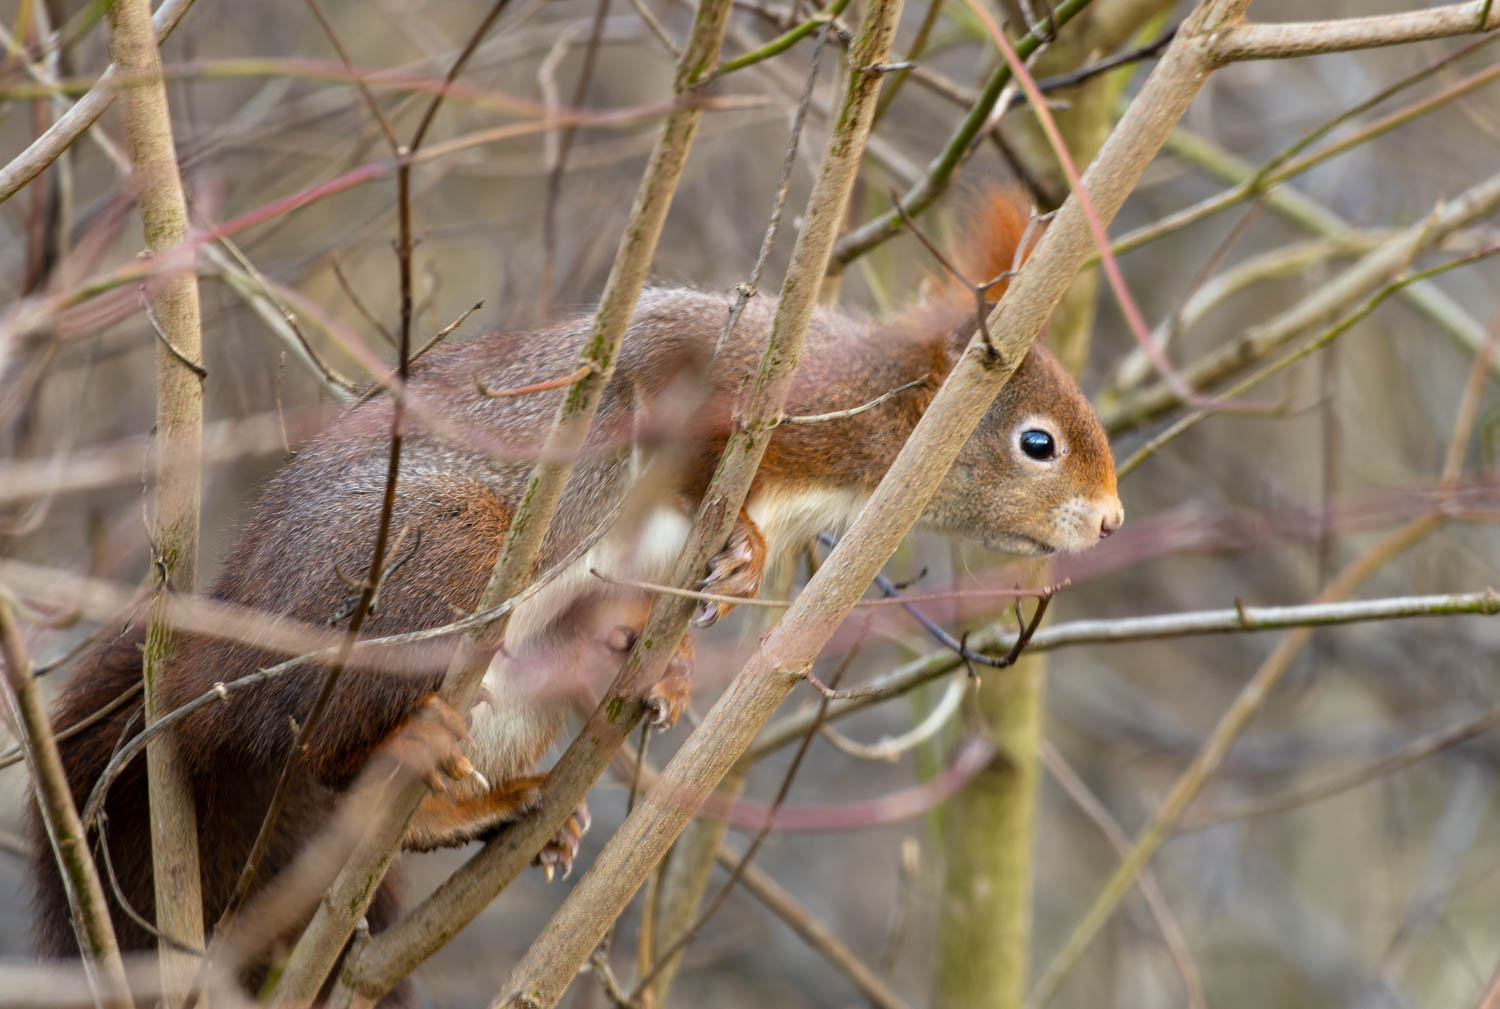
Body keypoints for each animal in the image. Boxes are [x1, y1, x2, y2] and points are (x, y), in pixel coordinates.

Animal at [29, 193, 1122, 995]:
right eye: (1037, 442)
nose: (1113, 522)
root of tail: (217, 652)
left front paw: (668, 668)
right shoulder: (729, 368)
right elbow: (675, 407)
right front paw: (745, 542)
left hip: (513, 687)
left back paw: (503, 803)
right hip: (432, 565)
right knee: (324, 750)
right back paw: (414, 744)